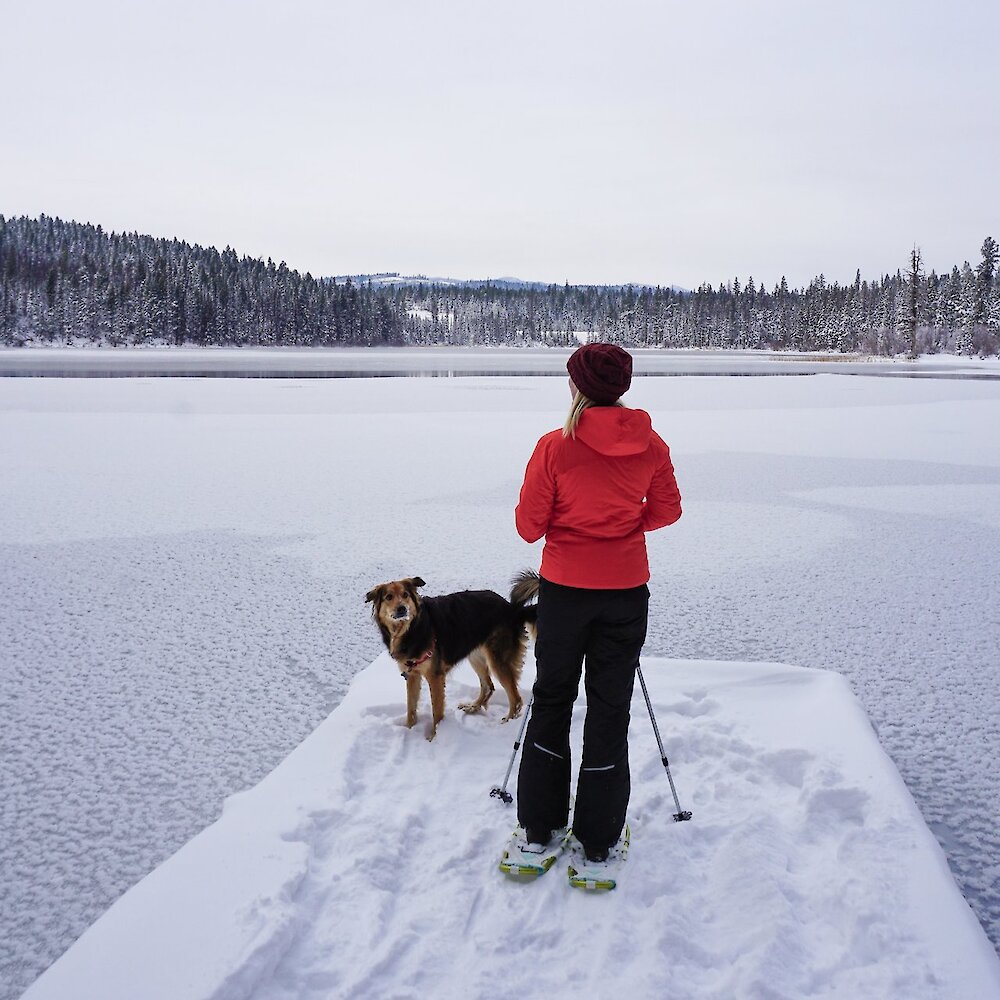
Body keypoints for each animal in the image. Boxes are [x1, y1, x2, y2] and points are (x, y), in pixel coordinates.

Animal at [368, 576, 540, 740]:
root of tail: (512, 609)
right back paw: (473, 707)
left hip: (498, 661)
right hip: (476, 656)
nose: (402, 608)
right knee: (488, 686)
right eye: (389, 597)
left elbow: (437, 711)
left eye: (405, 595)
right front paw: (409, 729)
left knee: (516, 699)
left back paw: (507, 722)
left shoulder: (435, 676)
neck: (412, 629)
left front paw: (434, 737)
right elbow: (411, 707)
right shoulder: (412, 675)